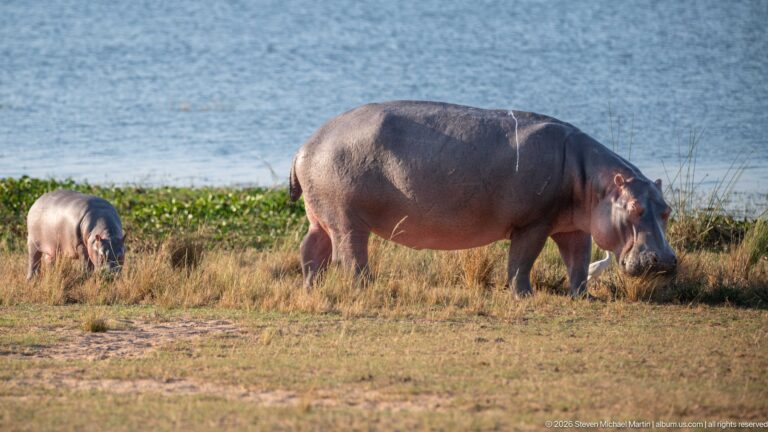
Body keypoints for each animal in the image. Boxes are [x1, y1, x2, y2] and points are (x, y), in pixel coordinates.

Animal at [289, 101, 677, 296]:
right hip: (346, 218)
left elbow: (578, 262)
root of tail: (306, 144)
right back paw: (368, 290)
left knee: (312, 252)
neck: (592, 179)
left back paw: (311, 290)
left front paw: (583, 296)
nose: (664, 261)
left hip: (319, 216)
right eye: (635, 207)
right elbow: (521, 261)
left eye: (667, 210)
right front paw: (524, 296)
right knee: (350, 257)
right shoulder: (533, 223)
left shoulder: (573, 227)